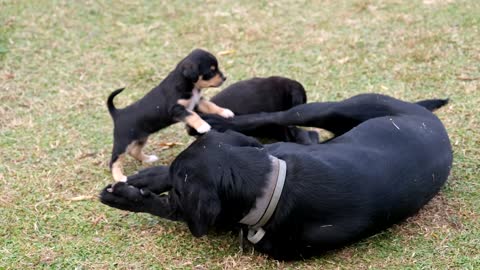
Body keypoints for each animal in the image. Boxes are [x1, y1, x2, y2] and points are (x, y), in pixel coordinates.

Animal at [99, 94, 452, 260]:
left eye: (180, 189)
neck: (272, 185)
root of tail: (428, 117)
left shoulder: (204, 215)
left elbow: (165, 207)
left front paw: (125, 196)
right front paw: (147, 177)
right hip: (329, 110)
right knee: (274, 118)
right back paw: (217, 121)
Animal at [106, 49, 233, 182]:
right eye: (211, 70)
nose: (224, 78)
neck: (188, 84)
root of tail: (117, 113)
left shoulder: (198, 101)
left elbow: (211, 105)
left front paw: (225, 112)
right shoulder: (176, 109)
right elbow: (193, 115)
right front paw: (202, 126)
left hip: (141, 137)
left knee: (134, 152)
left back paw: (148, 159)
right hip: (123, 143)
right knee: (114, 161)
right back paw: (119, 177)